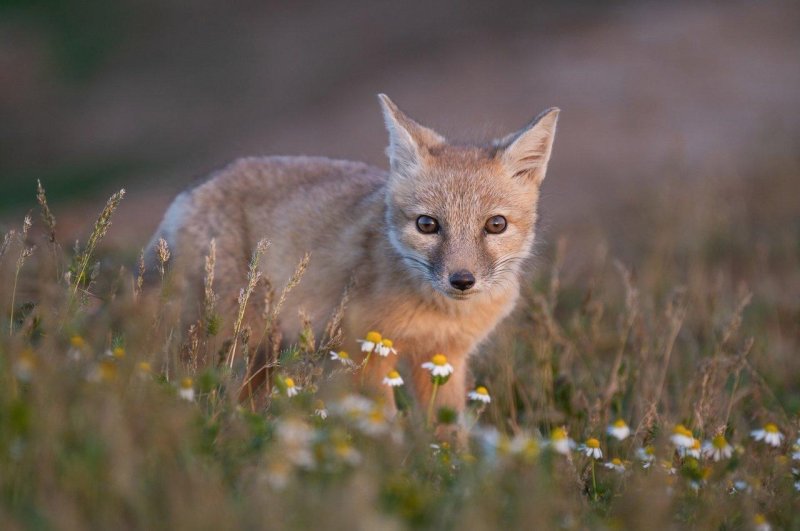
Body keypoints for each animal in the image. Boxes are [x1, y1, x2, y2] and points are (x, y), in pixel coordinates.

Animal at [148, 93, 556, 424]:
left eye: (495, 225)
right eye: (427, 225)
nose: (462, 280)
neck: (441, 314)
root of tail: (193, 188)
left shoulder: (444, 359)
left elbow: (448, 433)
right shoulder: (365, 352)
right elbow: (384, 425)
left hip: (265, 351)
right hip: (233, 339)